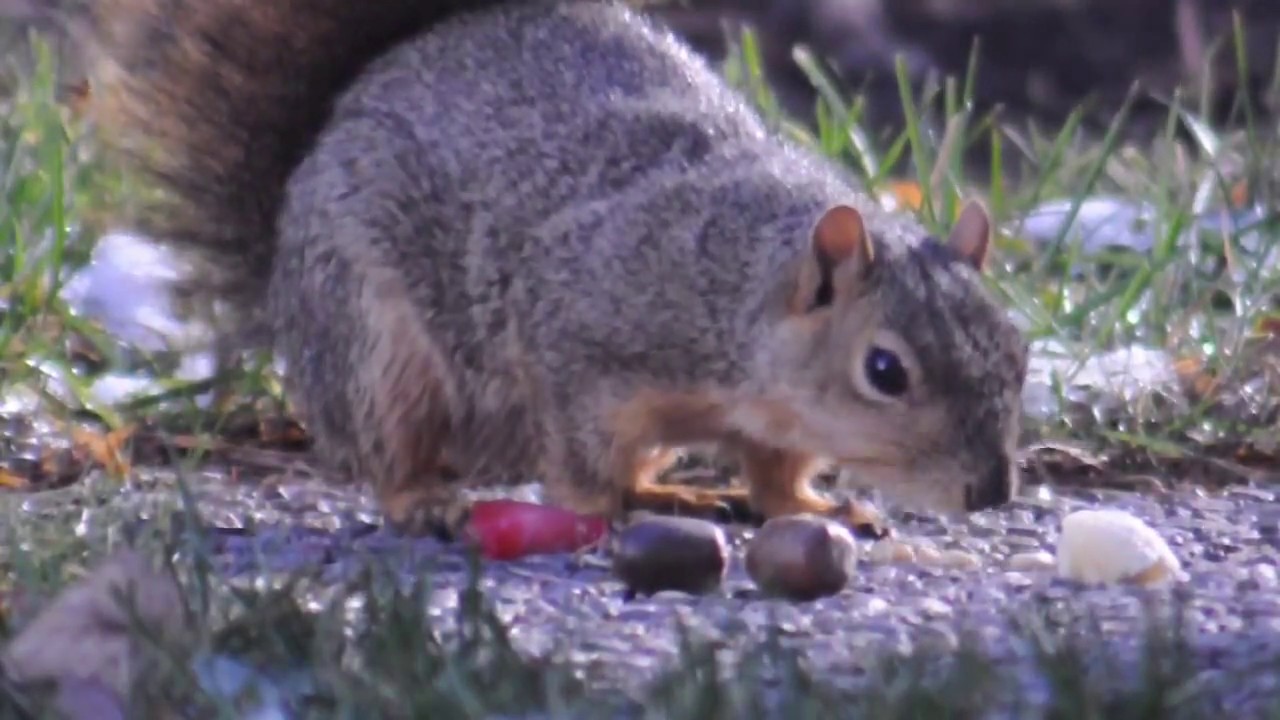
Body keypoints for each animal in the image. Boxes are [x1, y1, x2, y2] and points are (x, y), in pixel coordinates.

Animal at [78, 0, 1030, 541]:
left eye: (1019, 354)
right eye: (885, 371)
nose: (991, 491)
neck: (733, 283)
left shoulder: (771, 420)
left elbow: (774, 471)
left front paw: (808, 508)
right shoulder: (578, 336)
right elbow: (581, 457)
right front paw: (603, 512)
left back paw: (672, 492)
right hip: (375, 343)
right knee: (388, 447)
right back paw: (429, 500)